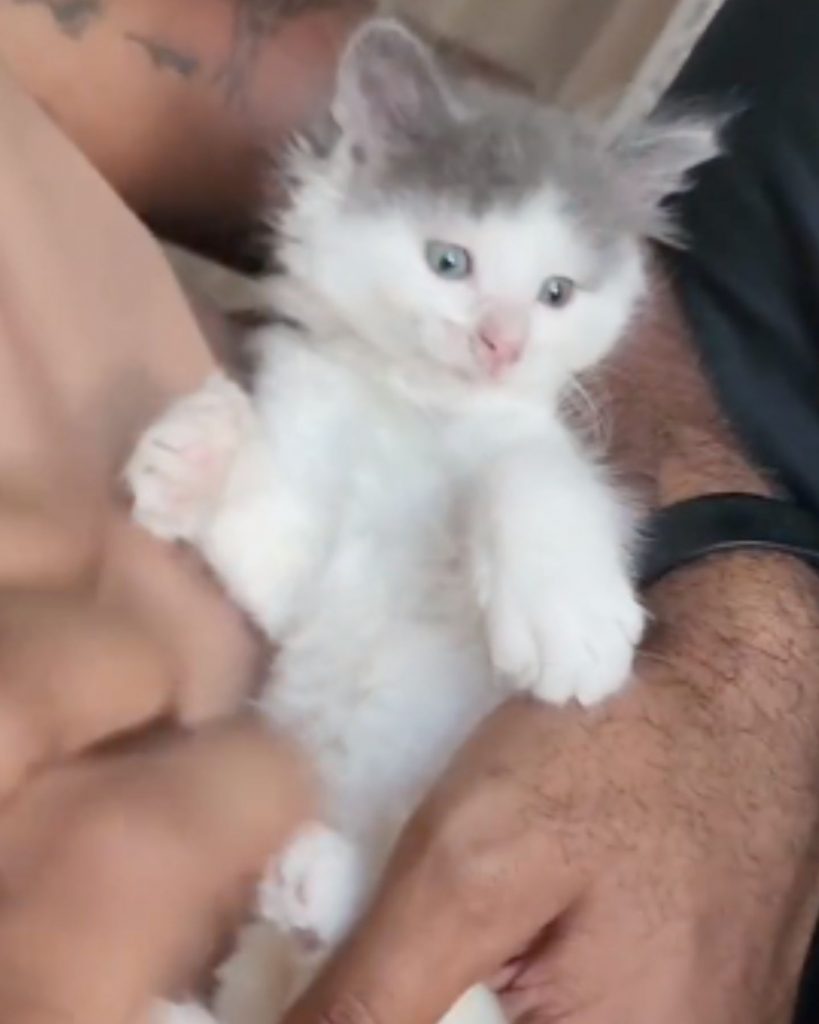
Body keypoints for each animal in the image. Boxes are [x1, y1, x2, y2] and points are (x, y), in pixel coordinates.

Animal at [126, 16, 716, 1024]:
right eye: (449, 262)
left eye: (556, 292)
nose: (500, 342)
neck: (407, 407)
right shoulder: (307, 541)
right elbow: (272, 543)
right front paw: (198, 458)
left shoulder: (543, 455)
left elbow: (529, 473)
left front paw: (566, 622)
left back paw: (323, 884)